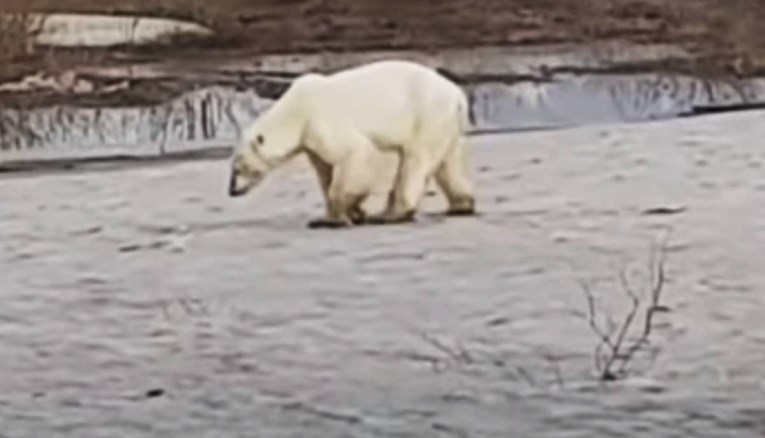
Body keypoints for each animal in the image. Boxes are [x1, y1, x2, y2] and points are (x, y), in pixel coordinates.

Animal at [227, 59, 474, 228]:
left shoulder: (321, 121)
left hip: (426, 115)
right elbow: (325, 170)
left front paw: (331, 219)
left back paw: (390, 214)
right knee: (446, 163)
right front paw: (353, 212)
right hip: (444, 124)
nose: (232, 191)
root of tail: (458, 96)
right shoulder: (311, 140)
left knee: (414, 160)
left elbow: (353, 154)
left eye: (238, 168)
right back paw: (462, 204)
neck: (295, 112)